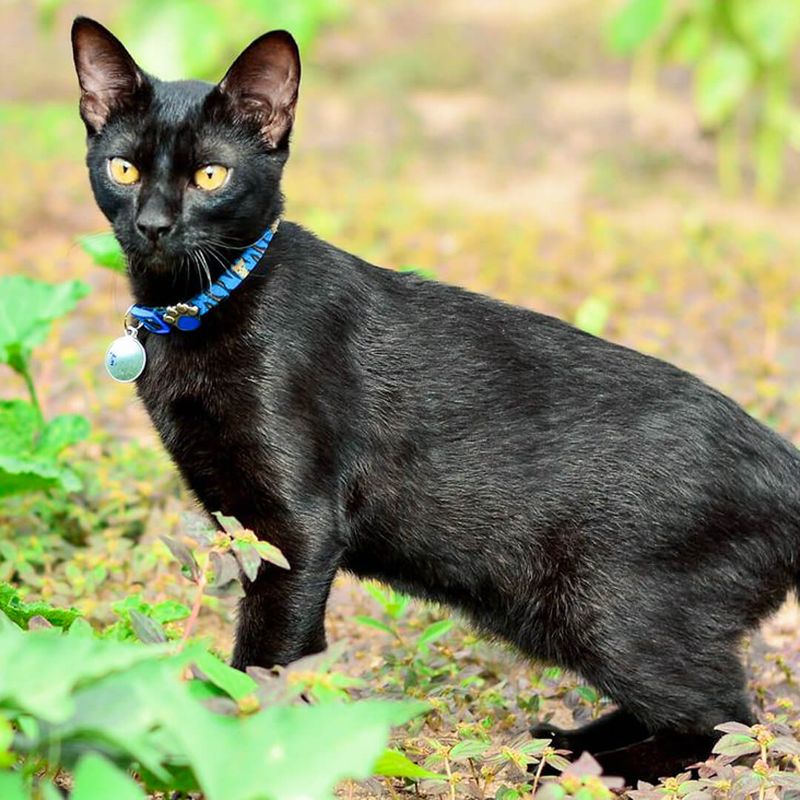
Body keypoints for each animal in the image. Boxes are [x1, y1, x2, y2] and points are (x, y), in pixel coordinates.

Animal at [72, 17, 796, 780]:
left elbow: (265, 663)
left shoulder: (298, 528)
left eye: (211, 175)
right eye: (123, 169)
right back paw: (565, 745)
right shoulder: (250, 528)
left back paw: (580, 769)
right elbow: (292, 657)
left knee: (727, 724)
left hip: (610, 609)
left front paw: (244, 753)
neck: (195, 309)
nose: (153, 225)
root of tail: (787, 463)